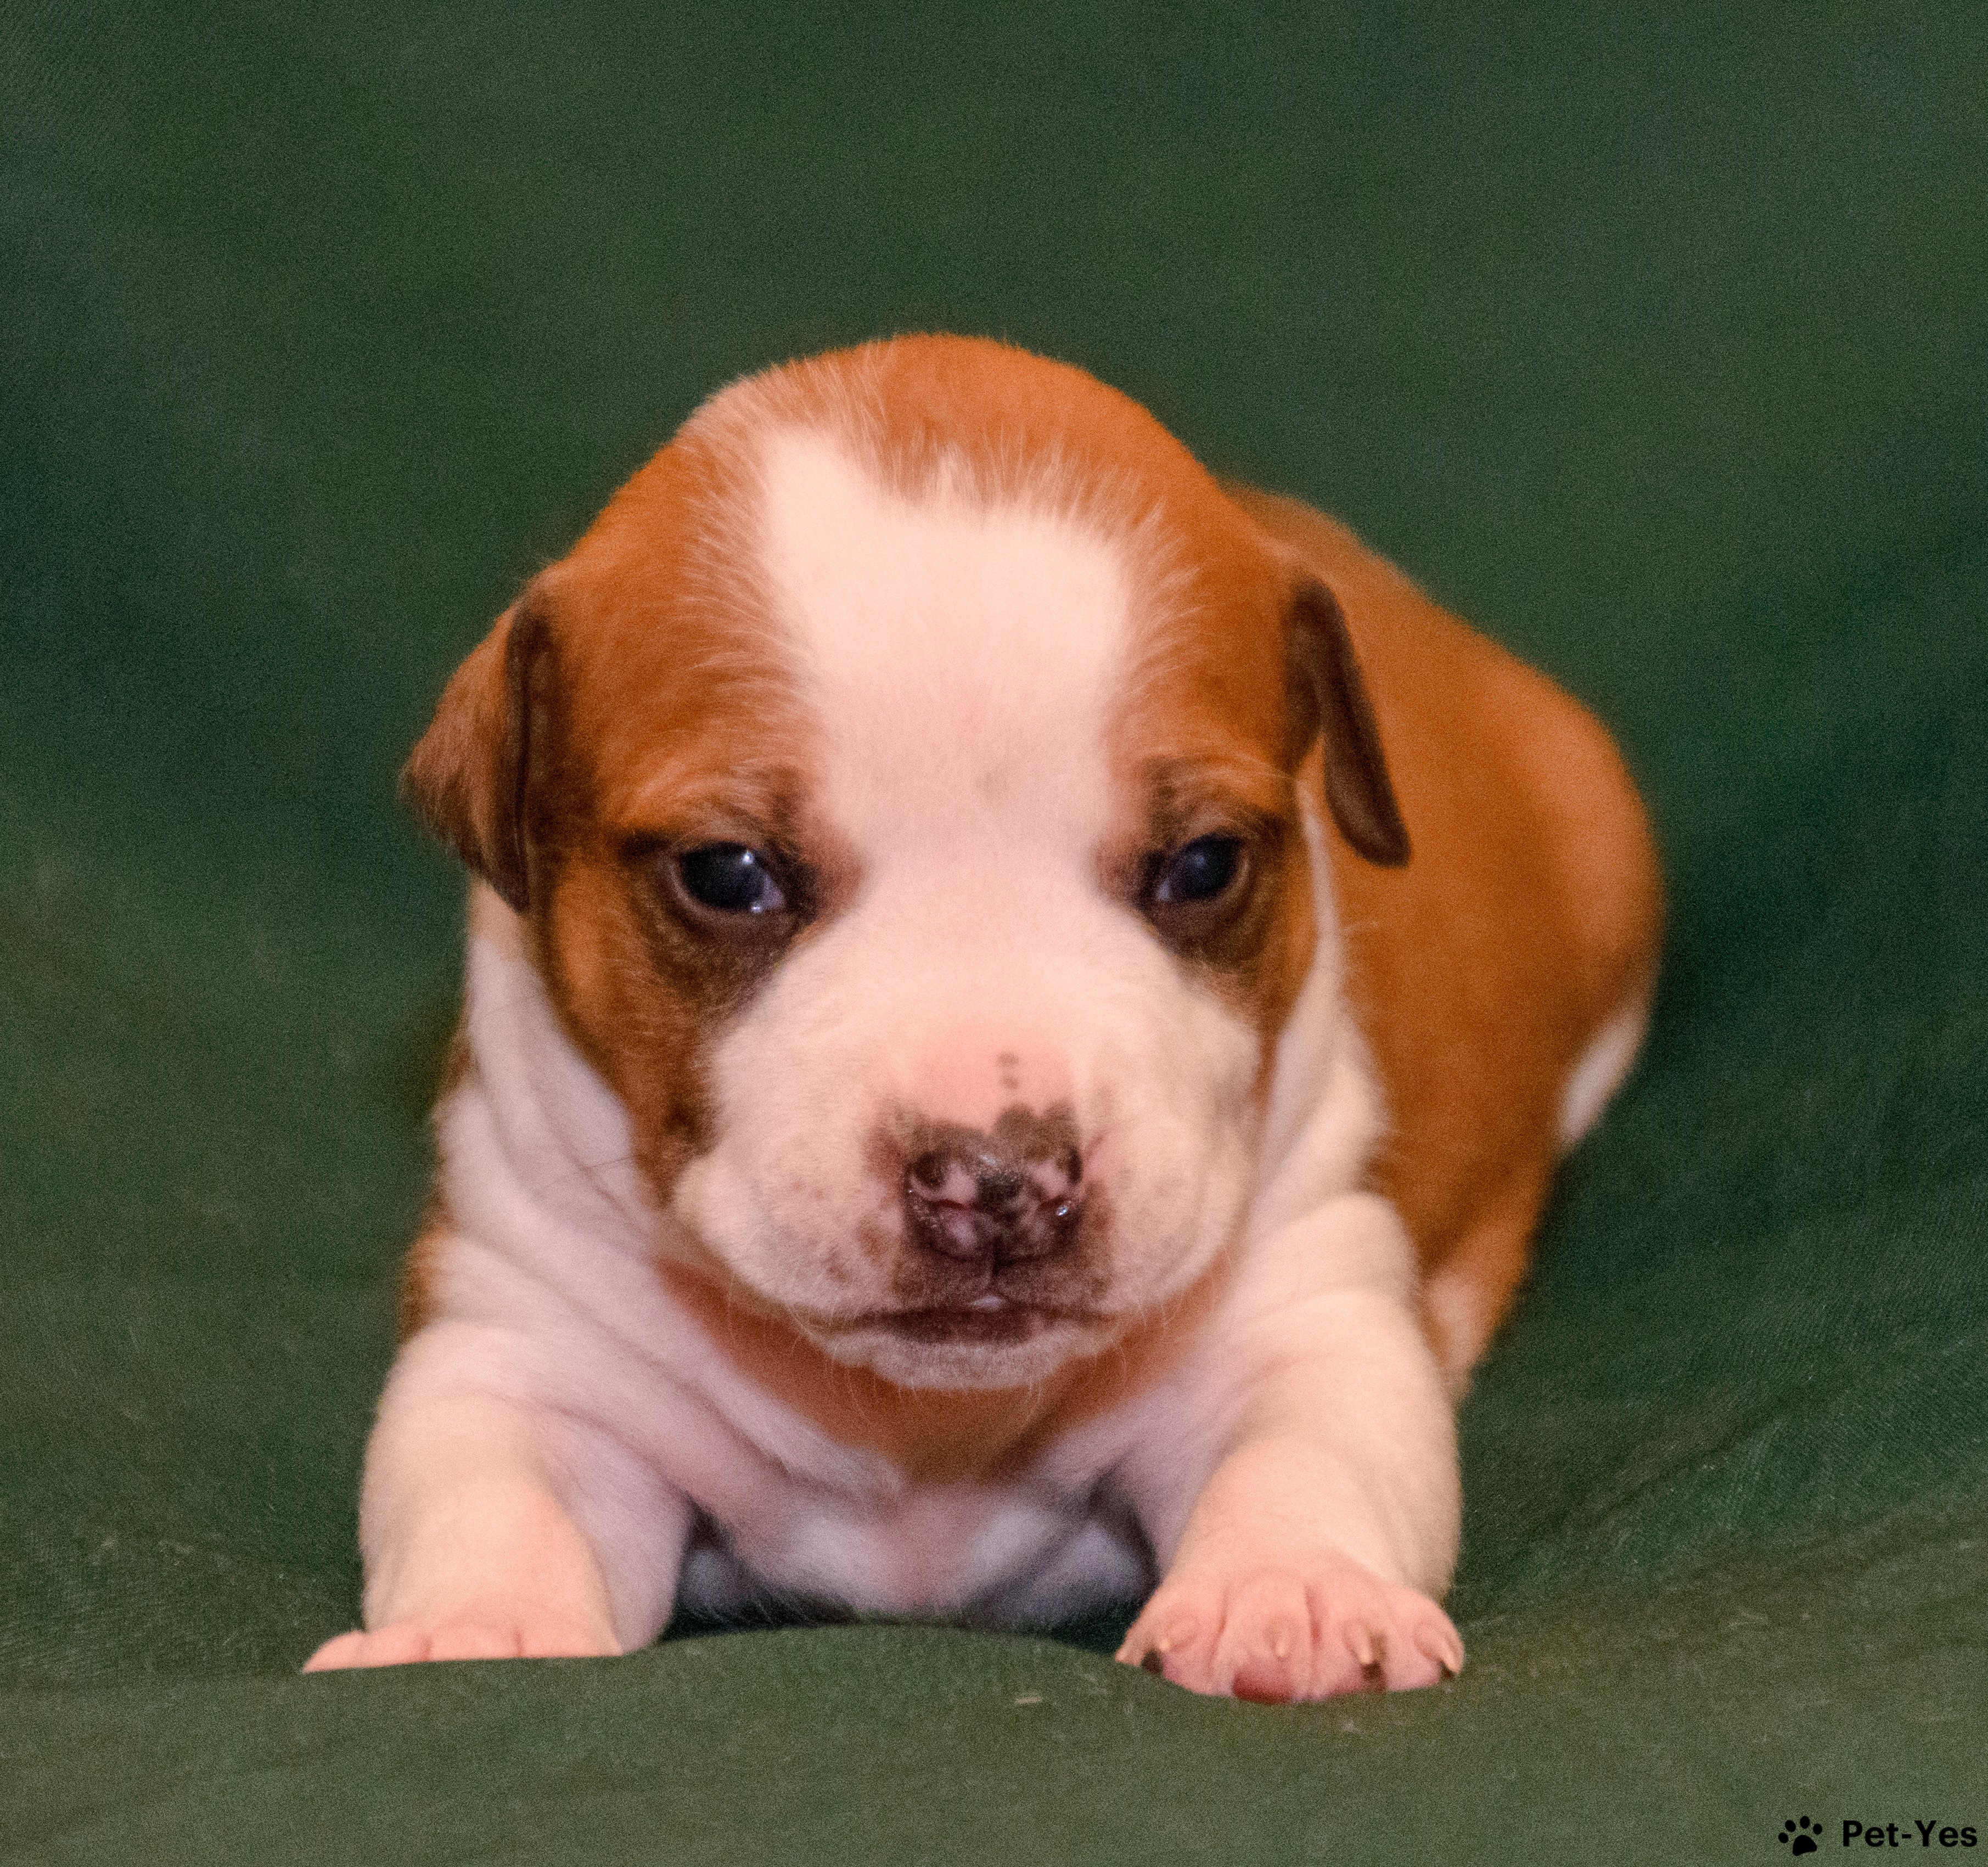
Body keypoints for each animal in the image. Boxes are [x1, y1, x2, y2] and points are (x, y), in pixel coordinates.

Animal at [302, 328, 1654, 1702]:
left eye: (1204, 865)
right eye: (726, 874)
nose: (997, 1181)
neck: (923, 1427)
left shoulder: (1304, 1293)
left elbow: (1305, 1447)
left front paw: (1293, 1595)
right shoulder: (523, 1336)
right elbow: (492, 1494)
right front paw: (476, 1631)